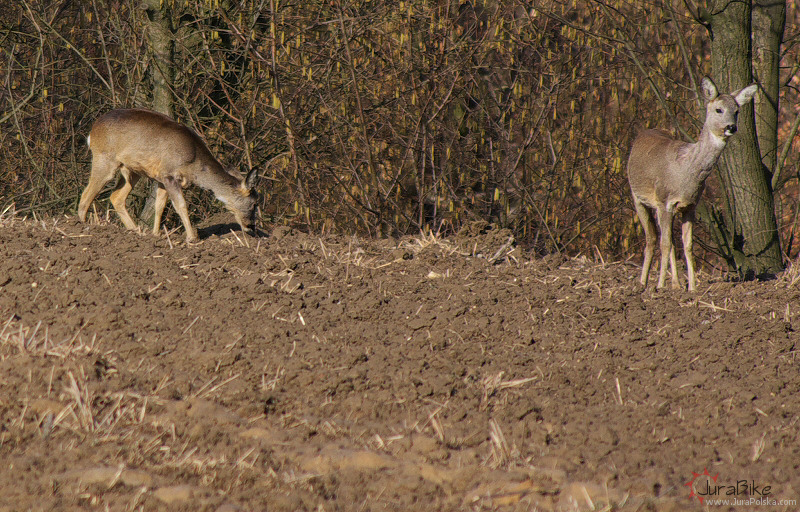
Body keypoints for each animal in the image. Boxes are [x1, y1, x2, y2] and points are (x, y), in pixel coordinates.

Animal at [76, 107, 255, 242]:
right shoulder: (169, 174)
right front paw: (192, 238)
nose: (250, 227)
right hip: (105, 159)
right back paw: (82, 226)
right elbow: (181, 205)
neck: (193, 165)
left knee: (116, 197)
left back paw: (135, 231)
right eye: (254, 204)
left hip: (131, 170)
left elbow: (159, 206)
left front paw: (156, 234)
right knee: (86, 194)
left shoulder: (161, 178)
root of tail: (92, 131)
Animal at [624, 77, 756, 292]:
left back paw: (676, 284)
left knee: (667, 239)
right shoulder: (664, 201)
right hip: (638, 197)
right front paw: (660, 286)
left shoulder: (690, 206)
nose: (731, 127)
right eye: (719, 109)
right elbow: (665, 244)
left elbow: (687, 245)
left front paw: (692, 288)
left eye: (736, 110)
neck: (684, 174)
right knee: (652, 238)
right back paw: (643, 283)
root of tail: (643, 133)